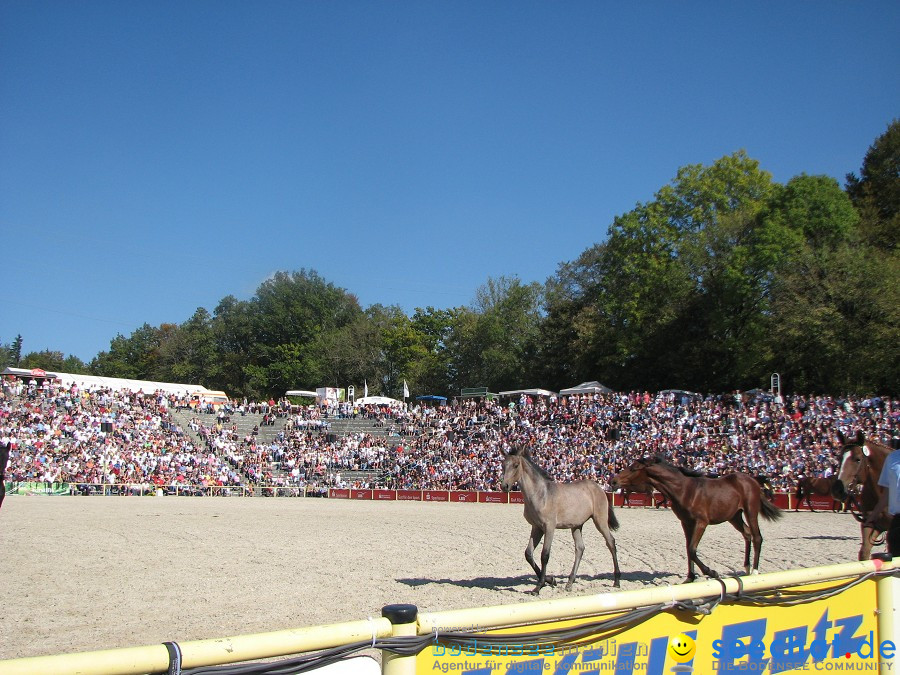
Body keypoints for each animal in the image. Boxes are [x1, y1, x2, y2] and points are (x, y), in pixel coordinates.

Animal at [500, 446, 620, 596]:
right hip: (576, 526)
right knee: (580, 548)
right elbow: (528, 554)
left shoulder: (549, 527)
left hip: (600, 521)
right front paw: (551, 580)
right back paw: (569, 583)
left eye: (516, 465)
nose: (504, 486)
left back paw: (617, 580)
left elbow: (544, 555)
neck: (540, 494)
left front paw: (539, 587)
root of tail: (600, 488)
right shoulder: (536, 527)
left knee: (611, 542)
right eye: (503, 465)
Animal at [612, 456, 780, 584]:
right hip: (734, 516)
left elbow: (692, 549)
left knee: (757, 537)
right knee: (747, 534)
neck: (685, 490)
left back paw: (755, 571)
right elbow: (688, 549)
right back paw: (746, 567)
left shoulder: (701, 522)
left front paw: (711, 572)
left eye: (633, 468)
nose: (613, 481)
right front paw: (690, 578)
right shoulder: (686, 523)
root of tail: (752, 479)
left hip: (750, 511)